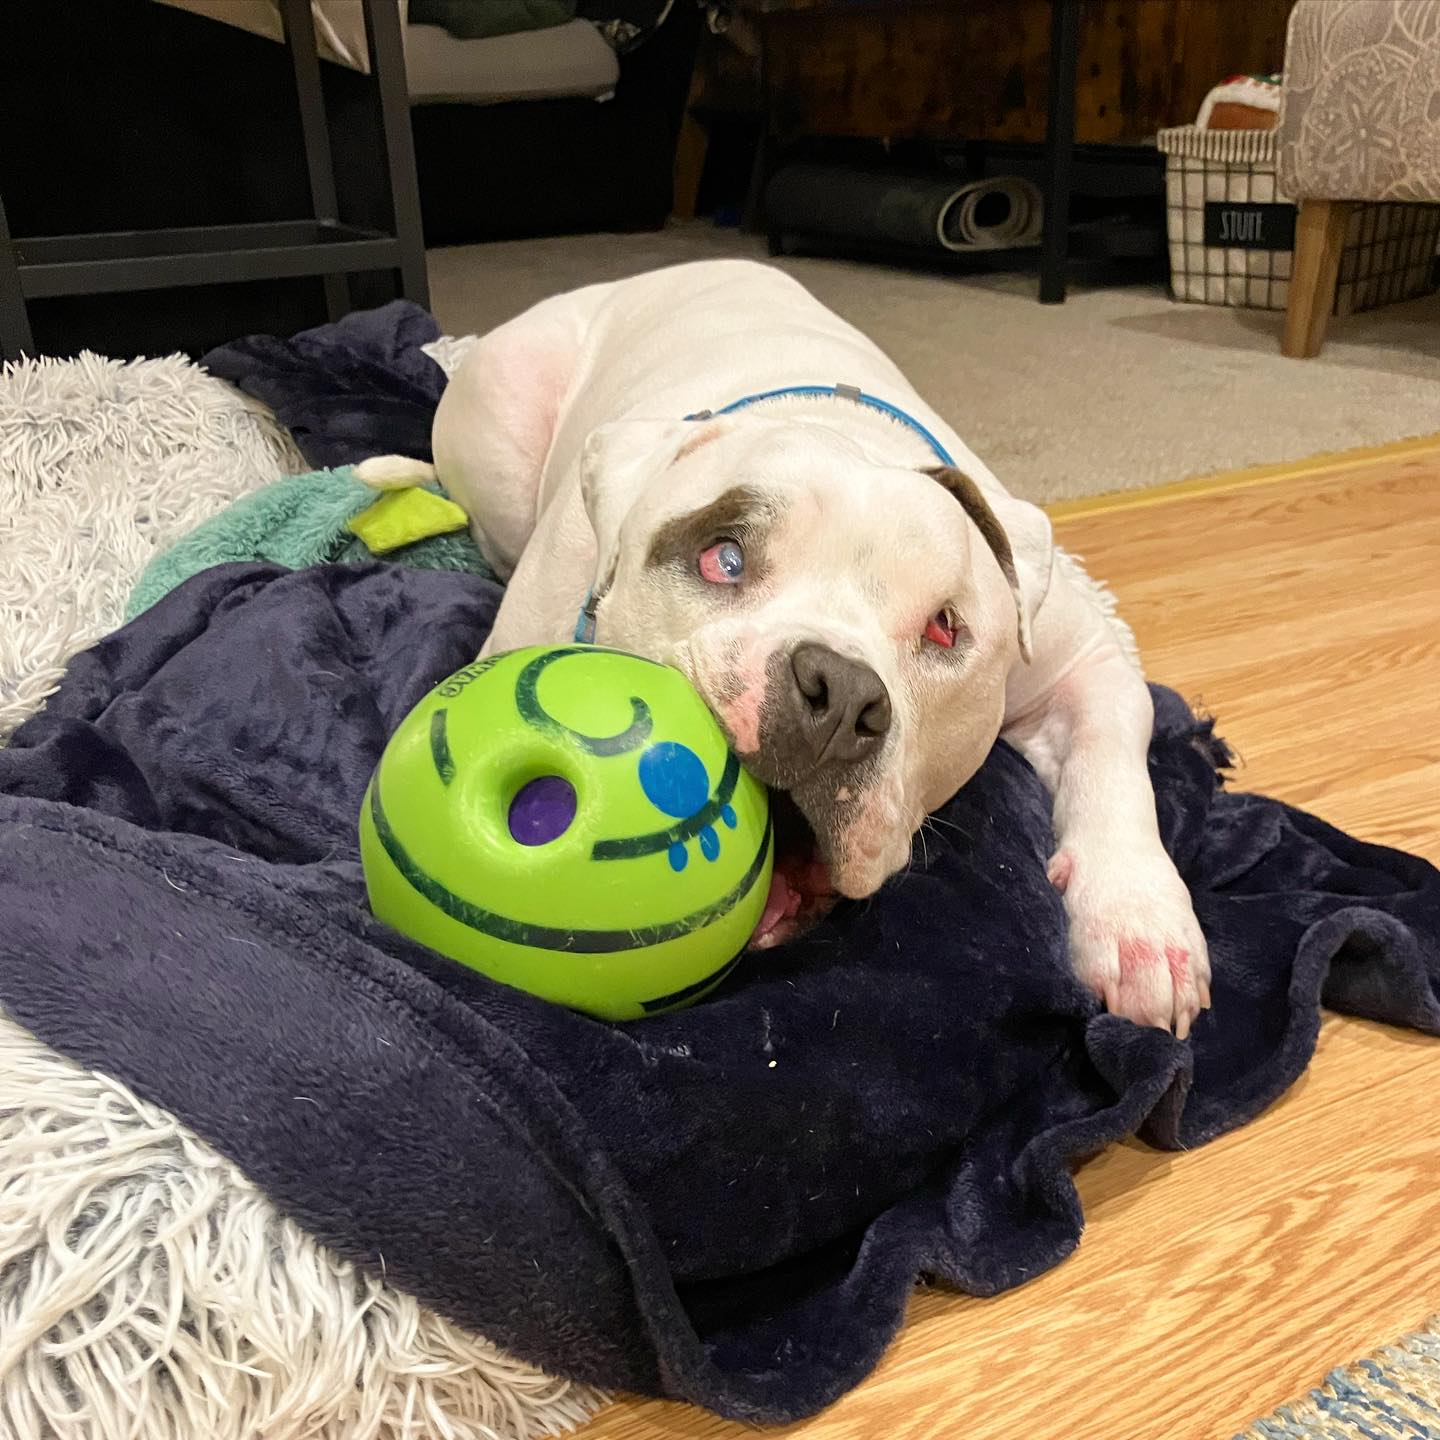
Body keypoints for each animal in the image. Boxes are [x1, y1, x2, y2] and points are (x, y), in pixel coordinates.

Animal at [357, 262, 1203, 1036]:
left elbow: (1114, 765)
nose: (840, 693)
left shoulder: (1085, 664)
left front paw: (1139, 921)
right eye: (723, 559)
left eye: (944, 627)